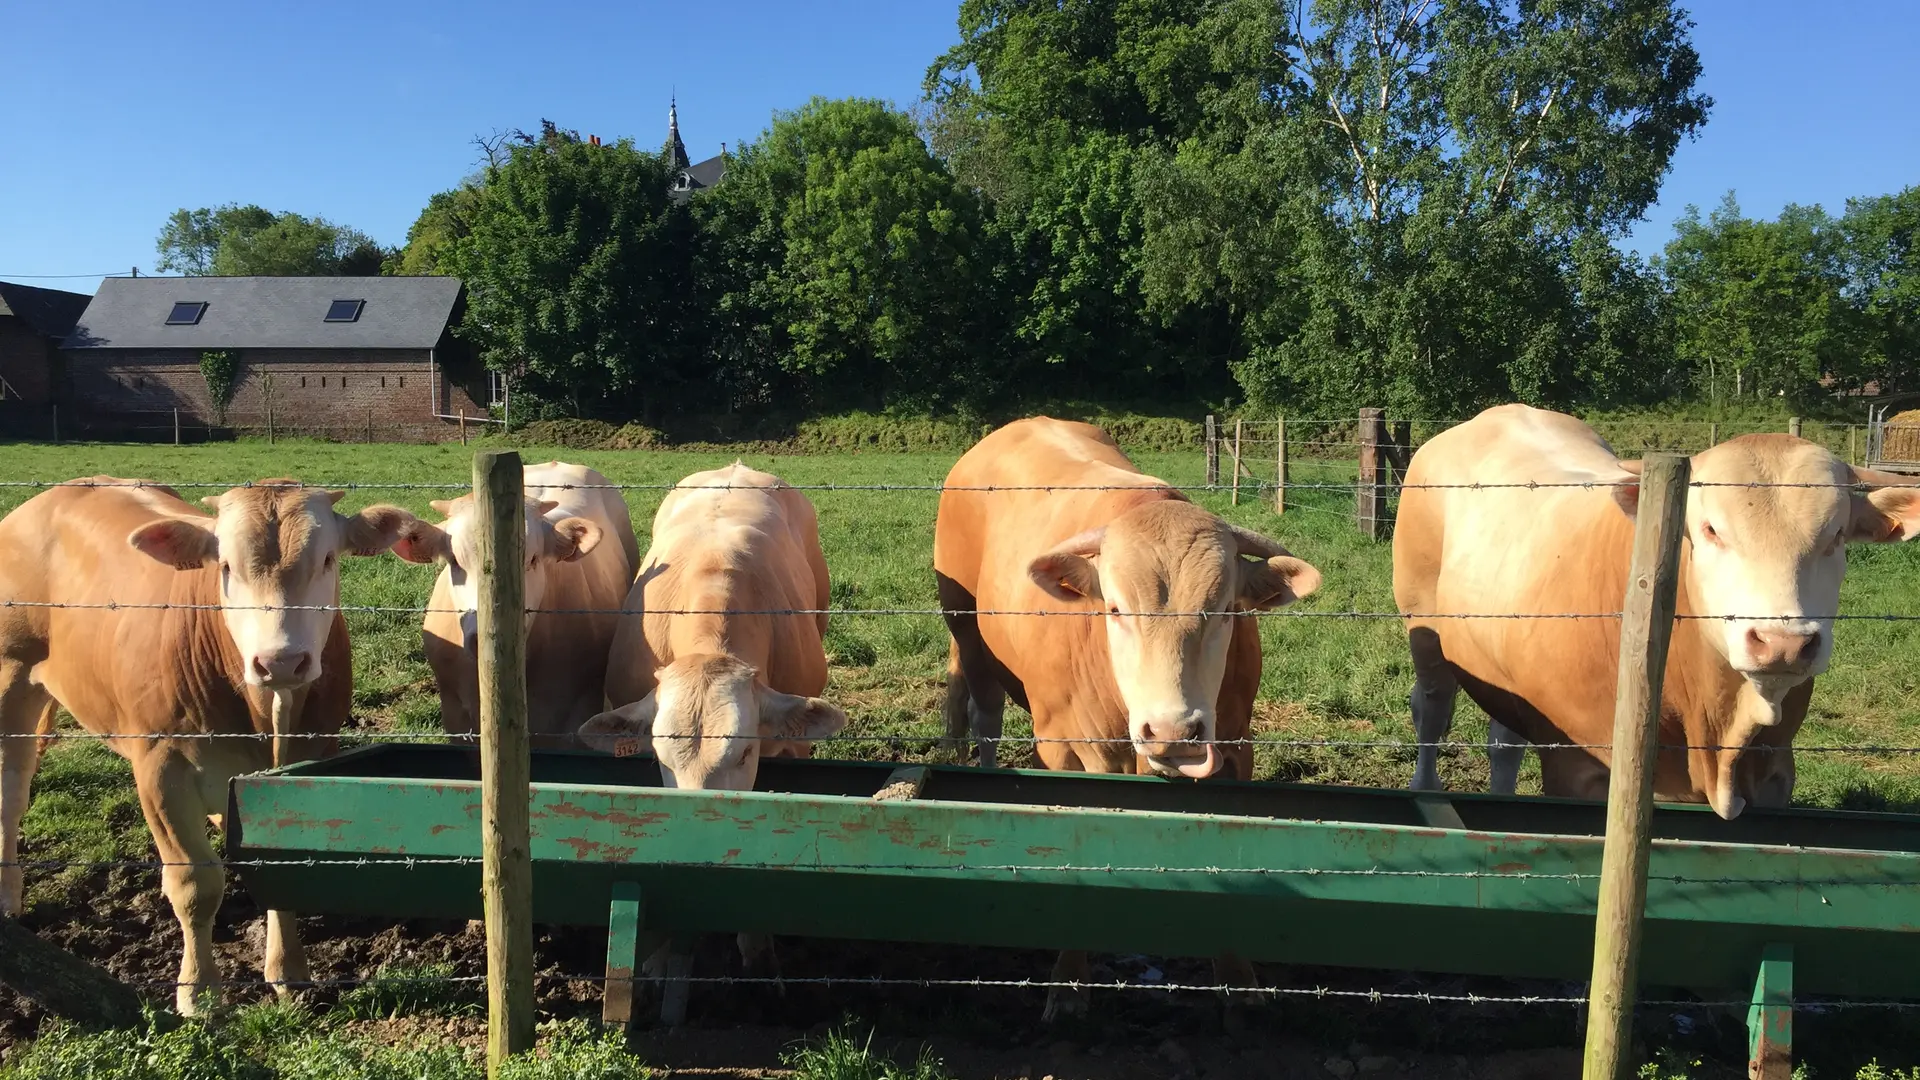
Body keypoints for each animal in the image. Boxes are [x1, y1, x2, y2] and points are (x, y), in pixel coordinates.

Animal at [0, 470, 408, 1006]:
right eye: (227, 567)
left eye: (327, 560)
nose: (280, 661)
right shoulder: (161, 769)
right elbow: (194, 883)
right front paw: (199, 994)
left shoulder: (310, 762)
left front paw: (289, 972)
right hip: (11, 679)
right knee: (10, 795)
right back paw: (7, 895)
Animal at [929, 413, 1320, 1014]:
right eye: (1115, 609)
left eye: (1224, 610)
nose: (1173, 729)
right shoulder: (1063, 753)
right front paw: (1069, 979)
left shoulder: (1236, 747)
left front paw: (1237, 975)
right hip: (966, 630)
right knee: (985, 715)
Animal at [1397, 403, 1920, 814]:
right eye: (1711, 529)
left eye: (1837, 536)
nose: (1782, 642)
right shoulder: (1576, 766)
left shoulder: (1776, 772)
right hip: (1423, 624)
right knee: (1432, 706)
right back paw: (1425, 787)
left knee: (1504, 741)